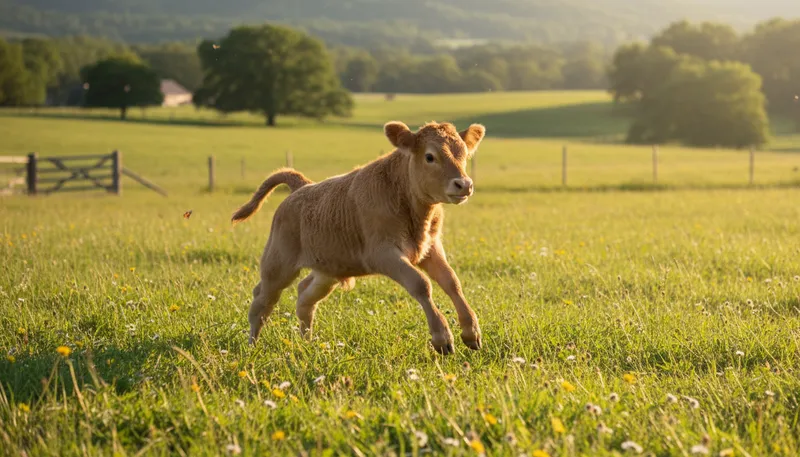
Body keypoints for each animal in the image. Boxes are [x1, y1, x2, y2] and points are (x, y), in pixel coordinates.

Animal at [231, 120, 486, 354]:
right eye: (430, 156)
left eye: (464, 154)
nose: (464, 184)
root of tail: (303, 187)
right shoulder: (383, 253)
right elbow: (421, 284)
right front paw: (442, 337)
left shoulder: (430, 248)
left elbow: (452, 282)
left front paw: (471, 331)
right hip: (278, 263)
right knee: (262, 300)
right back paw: (251, 346)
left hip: (328, 270)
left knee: (305, 297)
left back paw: (308, 344)